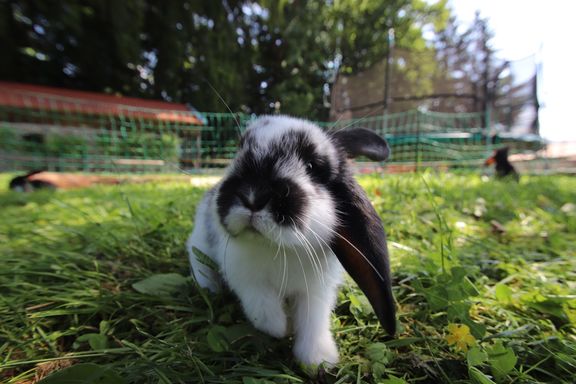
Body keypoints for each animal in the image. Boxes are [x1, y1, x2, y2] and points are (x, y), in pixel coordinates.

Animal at [187, 116, 394, 366]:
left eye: (312, 166)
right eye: (239, 150)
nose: (253, 196)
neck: (279, 248)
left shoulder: (316, 291)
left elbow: (313, 320)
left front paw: (318, 359)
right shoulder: (244, 276)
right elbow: (261, 304)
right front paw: (279, 328)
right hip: (200, 244)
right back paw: (210, 289)